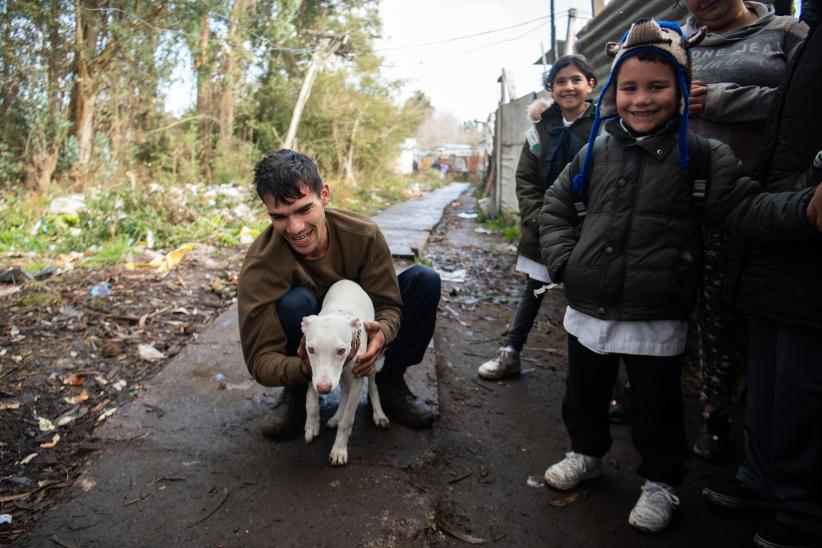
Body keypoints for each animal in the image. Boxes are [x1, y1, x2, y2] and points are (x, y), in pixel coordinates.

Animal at [300, 280, 392, 464]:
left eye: (341, 350)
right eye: (310, 349)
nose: (324, 389)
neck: (336, 313)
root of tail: (349, 282)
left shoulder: (357, 380)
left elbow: (348, 420)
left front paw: (339, 450)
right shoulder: (313, 371)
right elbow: (311, 401)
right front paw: (311, 425)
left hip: (370, 364)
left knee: (372, 387)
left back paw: (379, 415)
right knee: (344, 392)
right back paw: (336, 417)